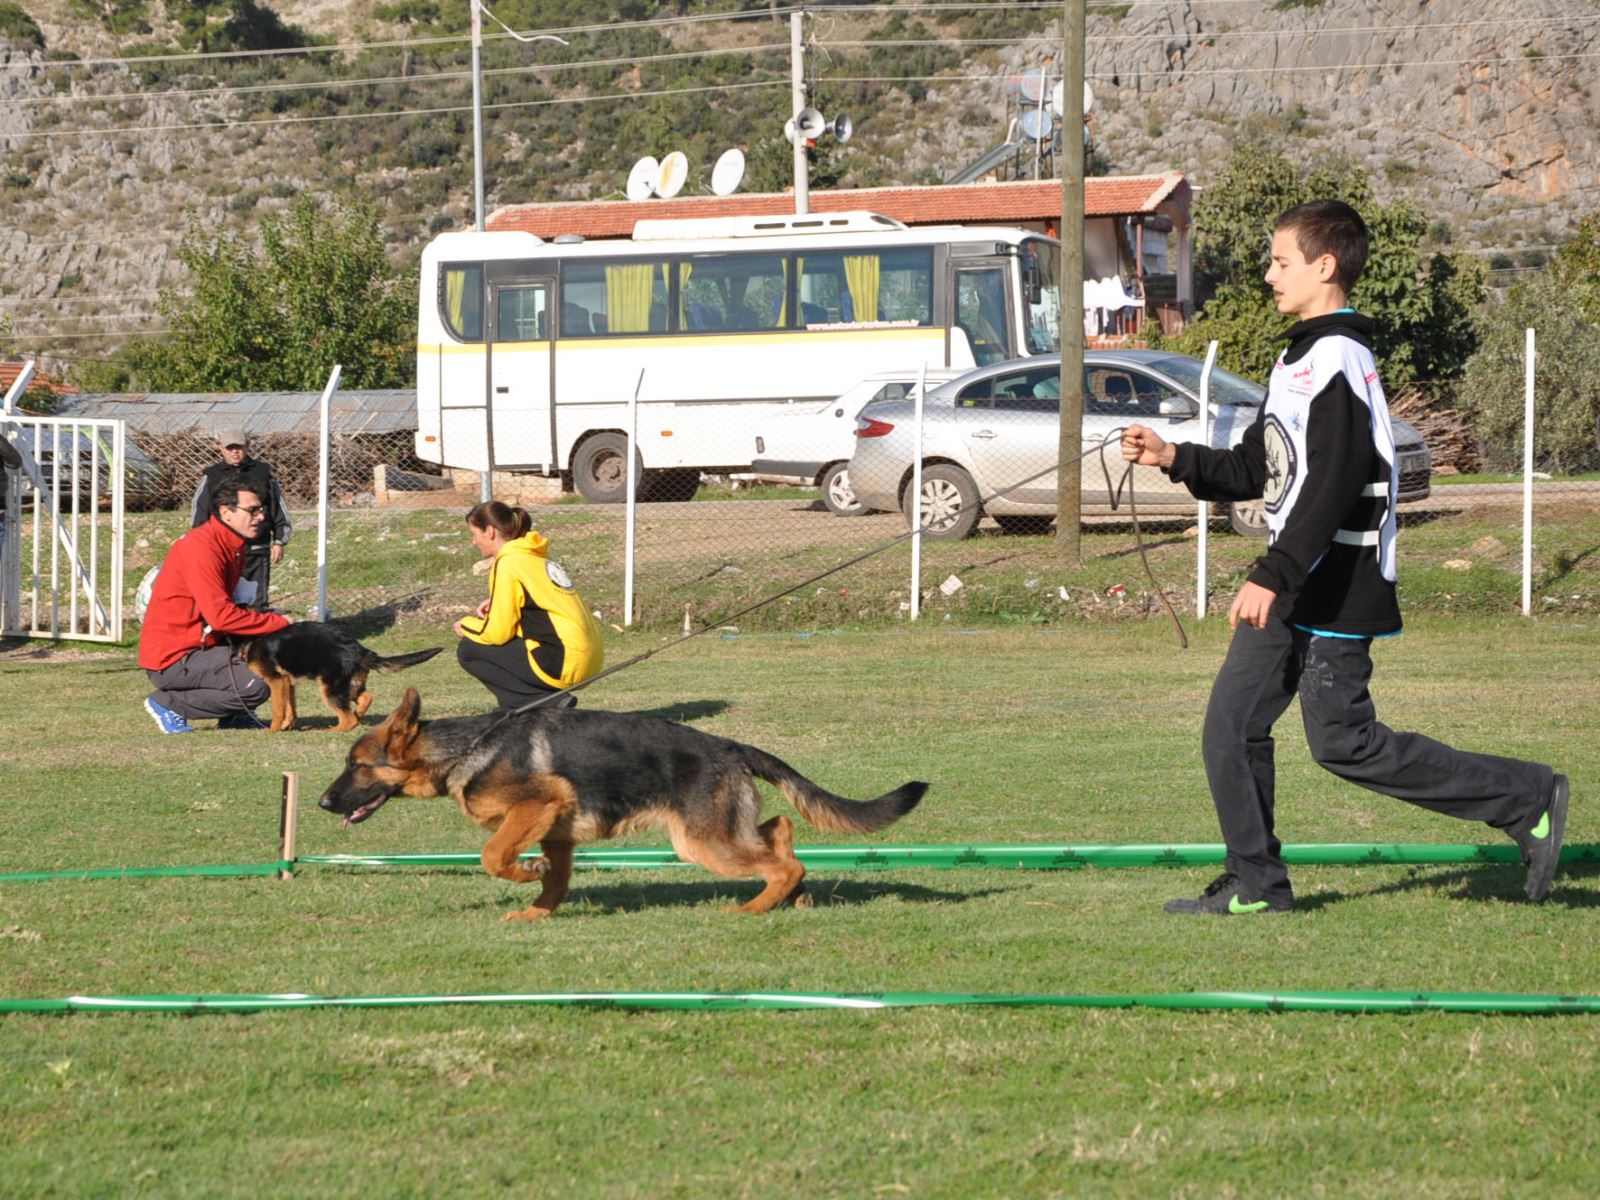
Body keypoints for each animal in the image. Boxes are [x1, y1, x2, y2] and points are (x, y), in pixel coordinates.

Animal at [243, 630, 444, 732]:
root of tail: (361, 650)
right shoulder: (287, 682)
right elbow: (290, 707)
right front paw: (286, 725)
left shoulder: (276, 681)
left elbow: (277, 708)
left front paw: (273, 729)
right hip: (350, 686)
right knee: (365, 699)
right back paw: (358, 715)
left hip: (329, 689)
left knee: (347, 718)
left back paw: (333, 730)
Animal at [320, 684, 934, 921]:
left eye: (358, 766)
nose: (324, 802)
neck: (464, 748)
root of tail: (729, 745)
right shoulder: (555, 830)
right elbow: (554, 880)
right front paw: (537, 911)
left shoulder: (538, 806)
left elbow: (494, 855)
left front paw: (523, 873)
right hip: (718, 832)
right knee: (782, 831)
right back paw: (791, 898)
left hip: (701, 844)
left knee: (783, 861)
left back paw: (754, 907)